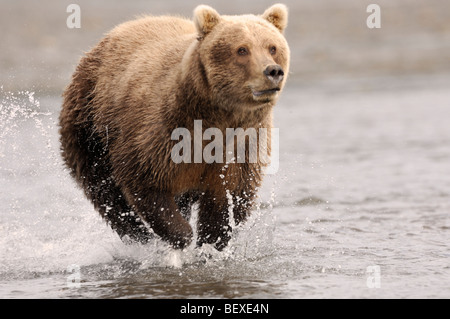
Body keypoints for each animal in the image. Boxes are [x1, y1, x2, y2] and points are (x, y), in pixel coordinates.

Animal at [59, 3, 292, 251]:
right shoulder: (159, 133)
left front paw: (210, 242)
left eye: (272, 47)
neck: (215, 118)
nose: (273, 71)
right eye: (242, 49)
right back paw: (138, 234)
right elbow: (144, 181)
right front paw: (181, 235)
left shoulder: (243, 144)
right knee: (103, 189)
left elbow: (229, 197)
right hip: (89, 121)